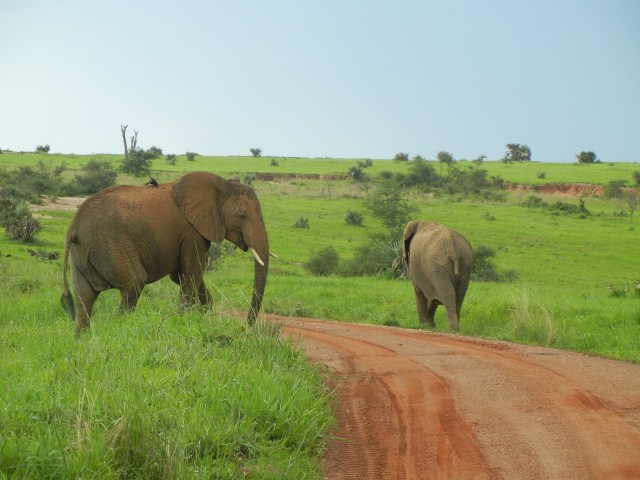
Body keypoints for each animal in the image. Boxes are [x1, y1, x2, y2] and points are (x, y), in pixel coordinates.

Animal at [61, 171, 269, 335]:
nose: (247, 326)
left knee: (84, 298)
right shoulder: (191, 233)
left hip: (83, 252)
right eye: (241, 216)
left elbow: (187, 277)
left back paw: (82, 339)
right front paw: (184, 320)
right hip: (109, 244)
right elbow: (190, 275)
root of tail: (73, 228)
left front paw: (205, 315)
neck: (221, 185)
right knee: (134, 282)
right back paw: (121, 329)